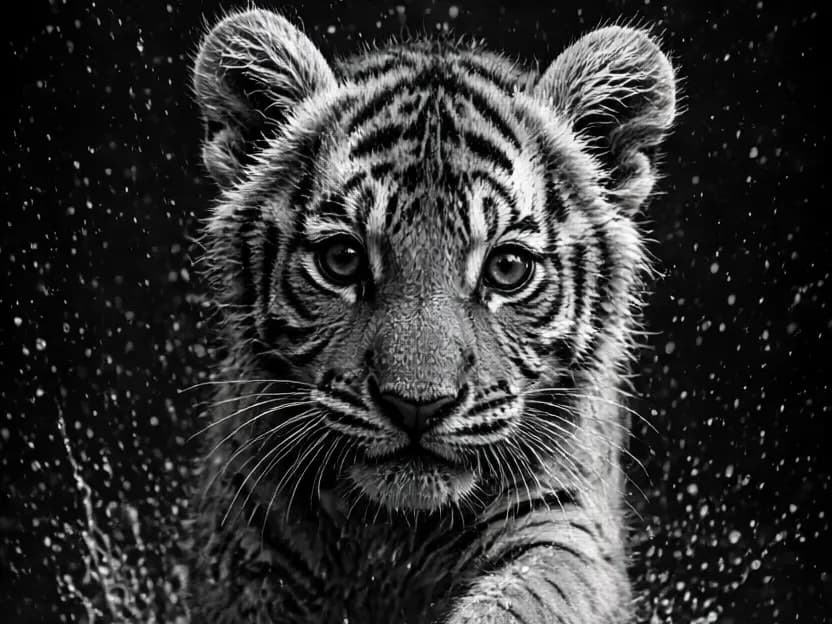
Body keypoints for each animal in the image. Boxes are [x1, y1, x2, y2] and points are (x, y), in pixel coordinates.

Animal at [189, 8, 676, 624]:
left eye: (507, 268)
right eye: (342, 259)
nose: (416, 406)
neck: (395, 534)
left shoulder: (566, 522)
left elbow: (530, 594)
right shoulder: (246, 546)